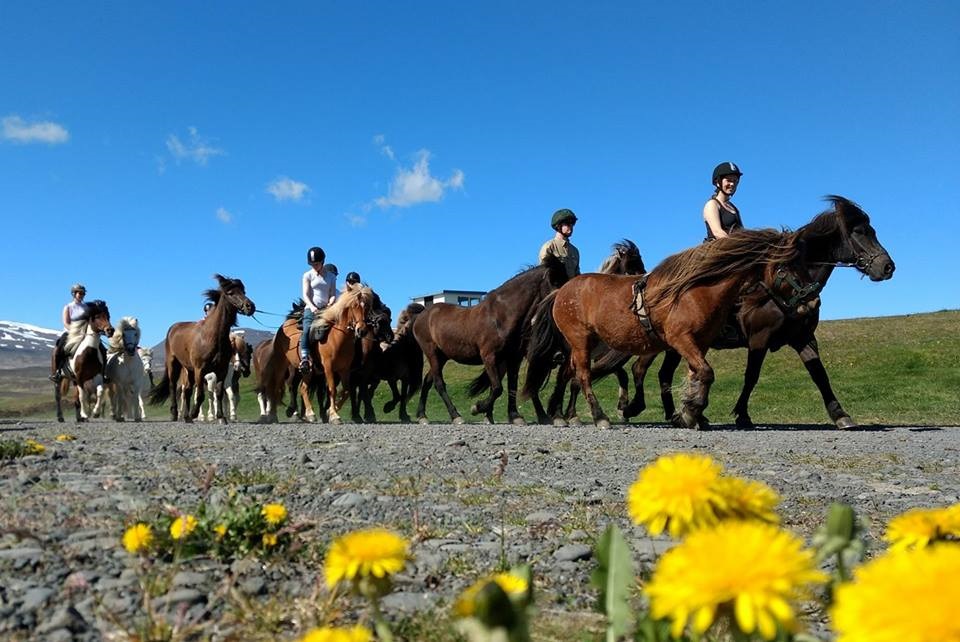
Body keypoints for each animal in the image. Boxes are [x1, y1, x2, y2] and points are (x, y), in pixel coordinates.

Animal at [149, 274, 255, 420]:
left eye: (244, 292)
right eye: (230, 293)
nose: (250, 306)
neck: (212, 337)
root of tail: (173, 328)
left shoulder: (222, 372)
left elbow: (219, 394)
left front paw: (221, 417)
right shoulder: (200, 371)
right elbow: (201, 395)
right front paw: (196, 414)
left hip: (190, 370)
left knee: (187, 391)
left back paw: (186, 416)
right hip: (174, 365)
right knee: (174, 388)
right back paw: (176, 414)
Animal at [414, 255, 568, 424]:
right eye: (555, 281)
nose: (565, 304)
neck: (500, 316)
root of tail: (423, 314)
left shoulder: (513, 359)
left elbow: (511, 386)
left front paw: (514, 416)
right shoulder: (489, 356)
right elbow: (497, 388)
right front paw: (478, 408)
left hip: (442, 357)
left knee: (427, 381)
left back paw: (422, 415)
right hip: (432, 353)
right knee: (439, 384)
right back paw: (456, 416)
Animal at [532, 228, 816, 428]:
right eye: (786, 265)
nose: (812, 301)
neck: (698, 290)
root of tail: (561, 291)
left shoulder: (699, 344)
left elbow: (696, 375)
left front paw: (689, 412)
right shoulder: (681, 340)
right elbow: (706, 373)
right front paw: (691, 412)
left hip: (581, 345)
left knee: (569, 374)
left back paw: (563, 414)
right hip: (581, 341)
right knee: (583, 375)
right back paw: (599, 416)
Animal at [656, 192, 896, 428]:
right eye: (859, 232)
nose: (887, 267)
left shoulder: (803, 337)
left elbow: (819, 374)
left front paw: (840, 414)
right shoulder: (759, 338)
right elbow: (751, 376)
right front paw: (742, 415)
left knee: (667, 373)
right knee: (666, 374)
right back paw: (677, 415)